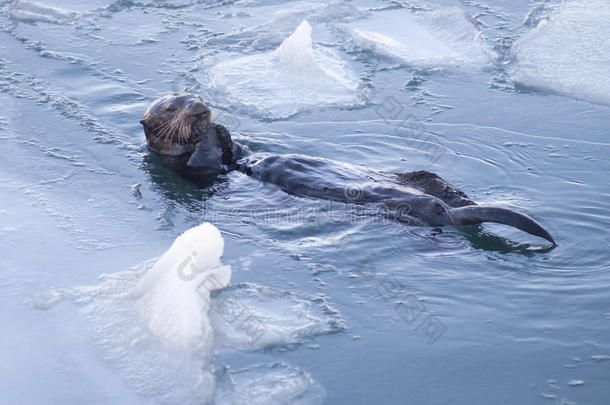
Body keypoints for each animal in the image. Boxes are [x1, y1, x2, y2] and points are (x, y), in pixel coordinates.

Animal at [140, 92, 552, 243]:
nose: (199, 108)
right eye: (171, 107)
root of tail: (447, 210)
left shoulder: (238, 153)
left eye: (194, 94)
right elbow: (202, 161)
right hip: (408, 213)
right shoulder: (189, 171)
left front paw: (222, 129)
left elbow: (240, 149)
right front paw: (207, 133)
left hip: (430, 181)